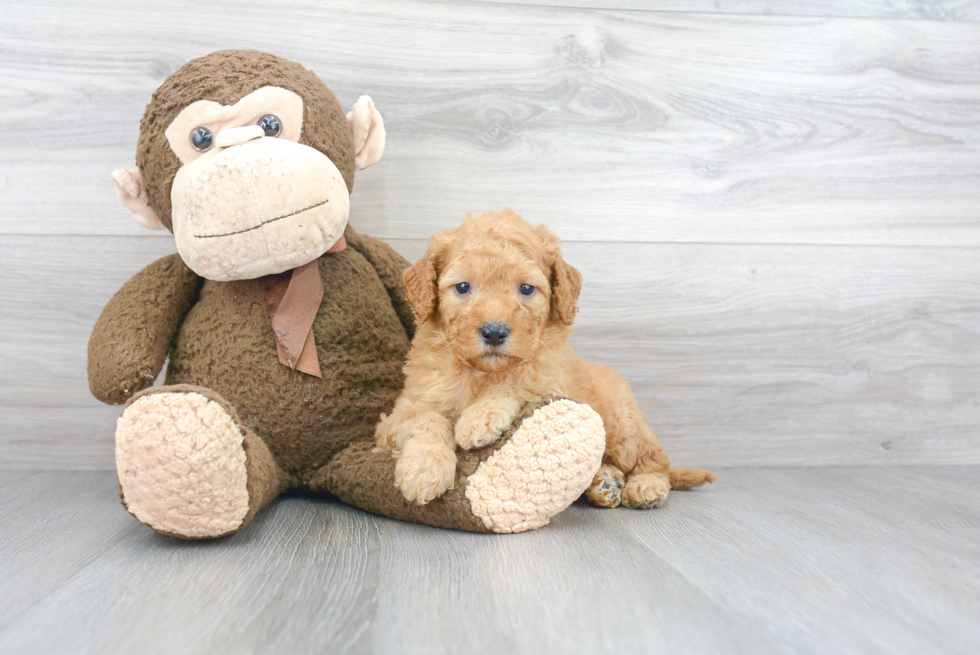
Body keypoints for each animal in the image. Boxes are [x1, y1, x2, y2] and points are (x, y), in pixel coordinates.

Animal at [374, 210, 712, 508]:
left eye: (526, 288)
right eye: (463, 287)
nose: (494, 332)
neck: (483, 372)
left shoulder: (552, 382)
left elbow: (519, 384)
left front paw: (479, 417)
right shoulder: (400, 413)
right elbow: (426, 419)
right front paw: (423, 469)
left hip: (624, 426)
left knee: (655, 460)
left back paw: (645, 486)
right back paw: (604, 482)